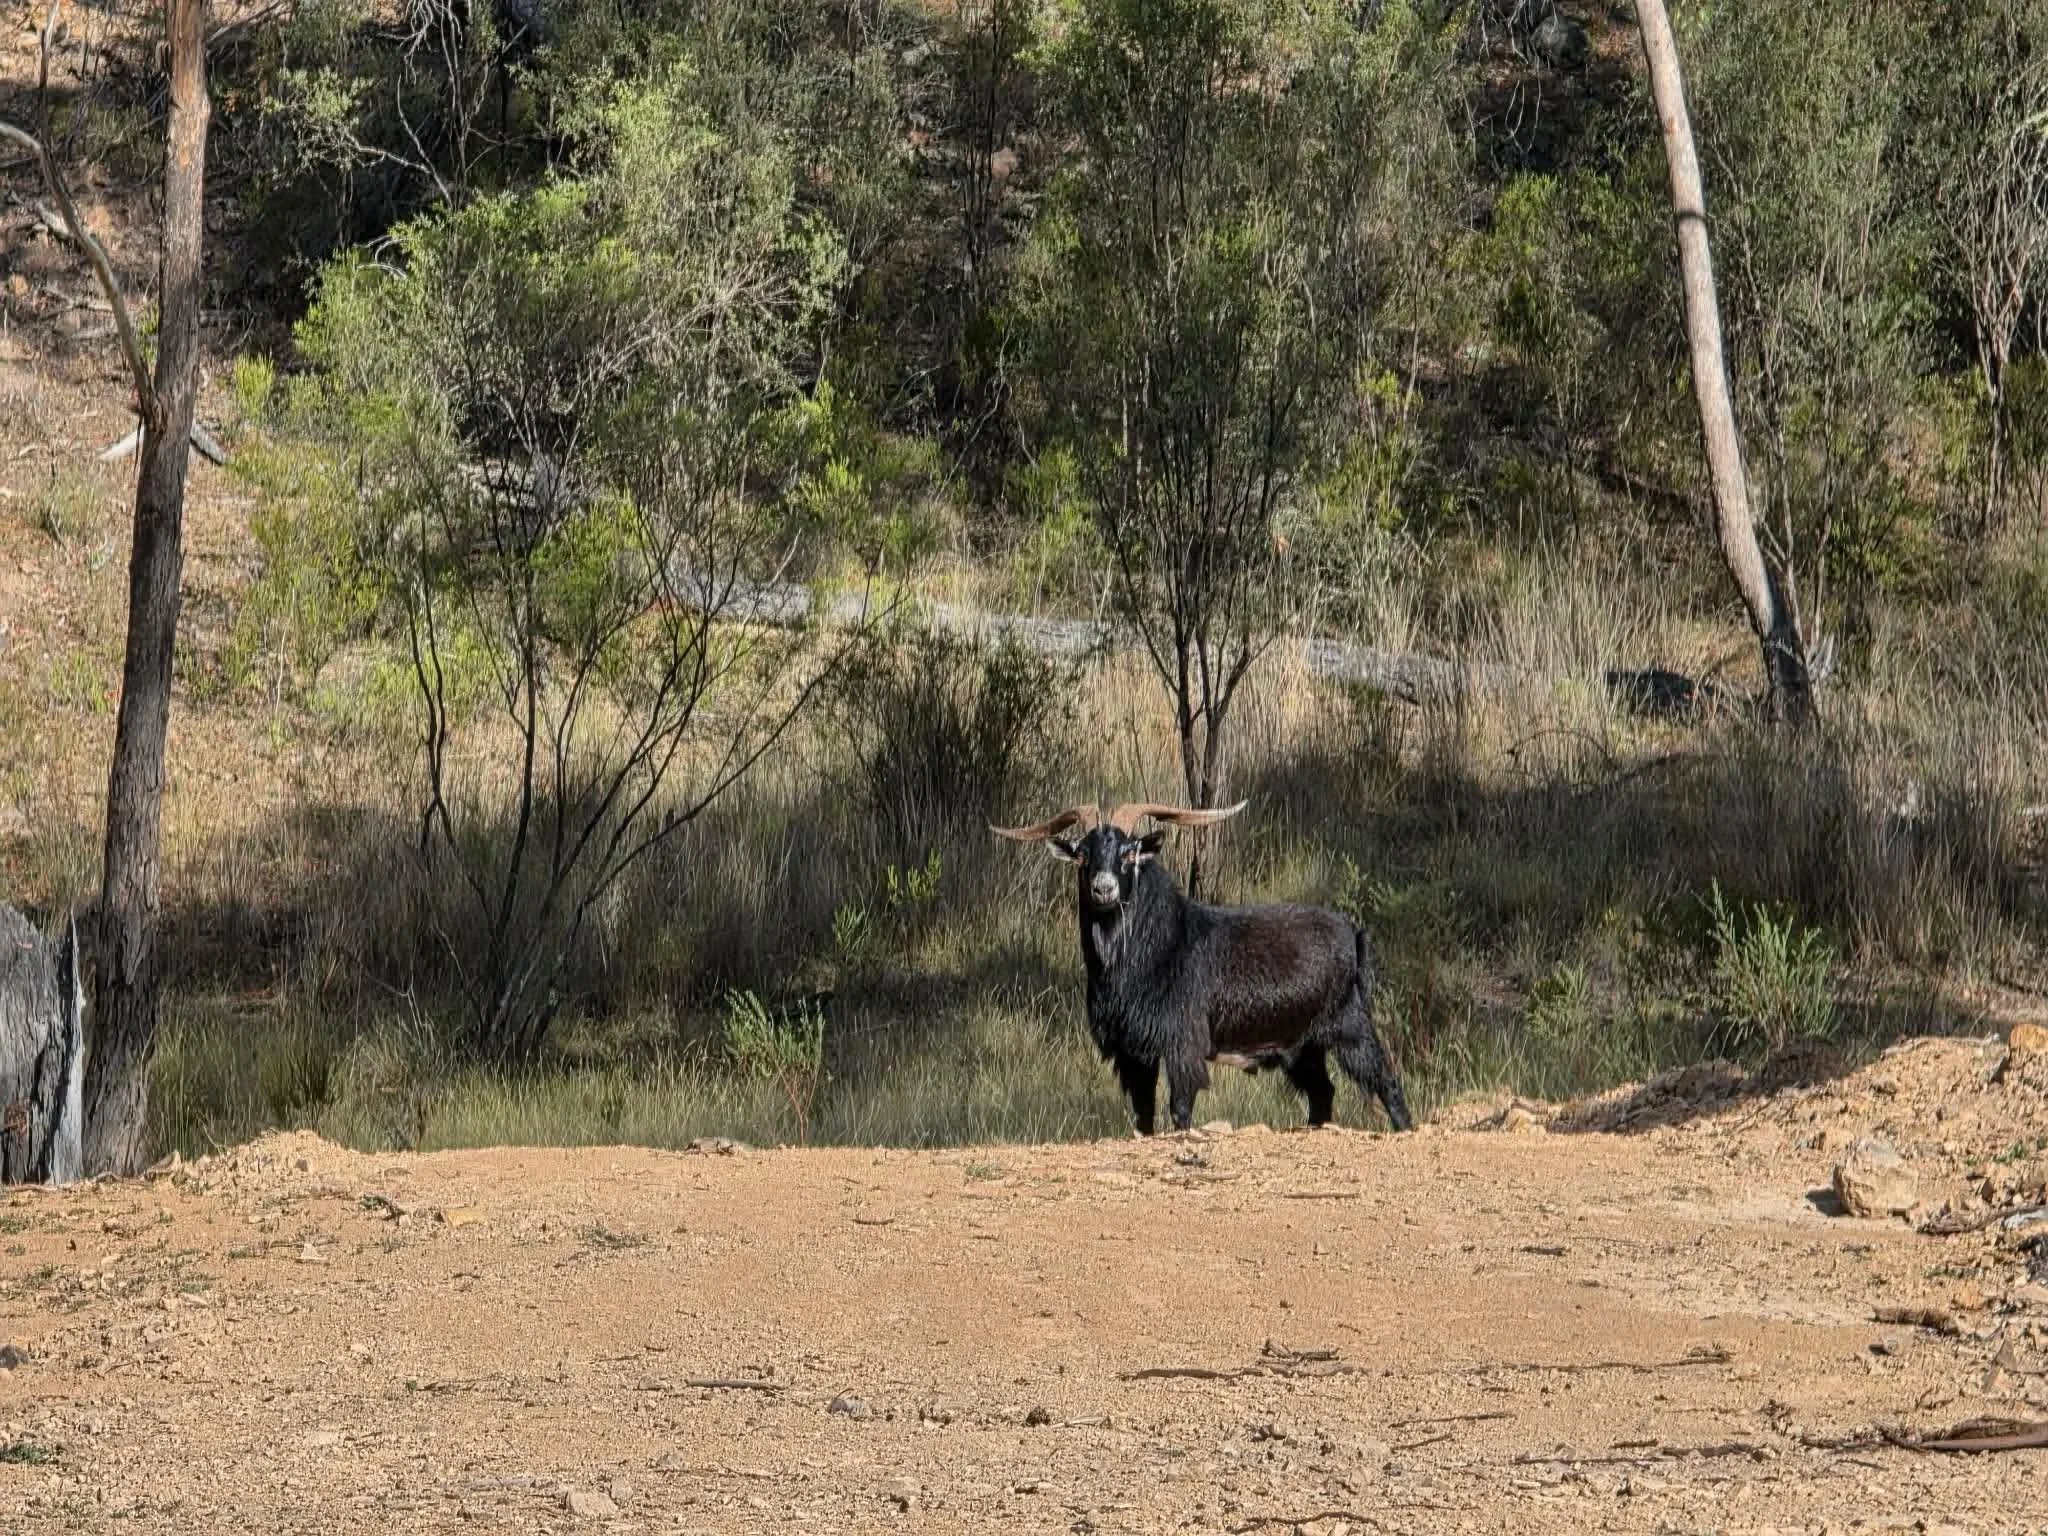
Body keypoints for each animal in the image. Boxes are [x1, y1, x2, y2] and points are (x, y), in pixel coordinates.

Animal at [993, 802, 1412, 1135]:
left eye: (1129, 853)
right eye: (1082, 854)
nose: (1103, 889)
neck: (1162, 946)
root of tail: (1353, 933)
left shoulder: (1183, 1044)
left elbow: (1180, 1110)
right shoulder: (1133, 1052)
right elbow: (1143, 1116)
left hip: (1350, 1025)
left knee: (1386, 1082)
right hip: (1303, 1046)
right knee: (1323, 1093)